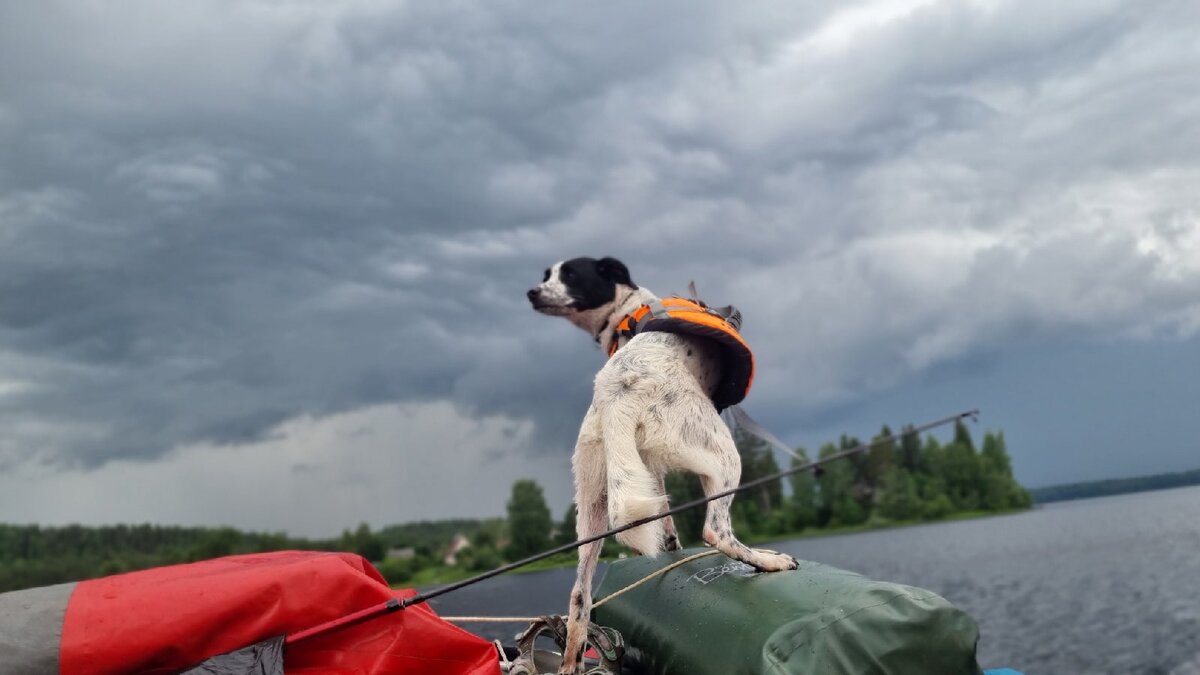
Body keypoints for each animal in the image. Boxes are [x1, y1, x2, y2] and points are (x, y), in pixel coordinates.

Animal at [528, 254, 796, 667]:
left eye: (567, 274)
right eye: (551, 275)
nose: (533, 292)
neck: (628, 310)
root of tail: (615, 392)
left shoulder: (647, 471)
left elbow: (667, 528)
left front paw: (671, 549)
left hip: (594, 504)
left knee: (579, 599)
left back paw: (572, 661)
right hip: (721, 453)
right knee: (716, 531)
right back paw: (766, 560)